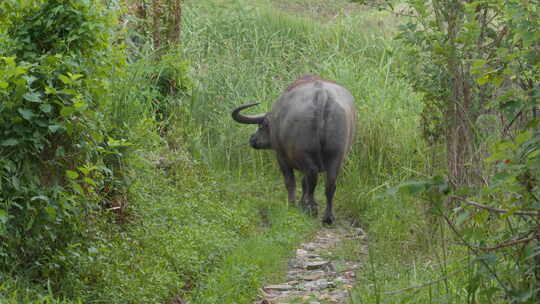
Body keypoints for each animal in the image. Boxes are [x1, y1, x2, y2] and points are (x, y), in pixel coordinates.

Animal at [230, 74, 356, 224]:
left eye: (262, 125)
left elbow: (290, 182)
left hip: (305, 152)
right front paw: (301, 203)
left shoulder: (282, 157)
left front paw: (292, 204)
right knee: (329, 184)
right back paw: (327, 216)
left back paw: (311, 208)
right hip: (336, 154)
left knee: (311, 176)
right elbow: (303, 182)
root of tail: (321, 95)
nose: (252, 139)